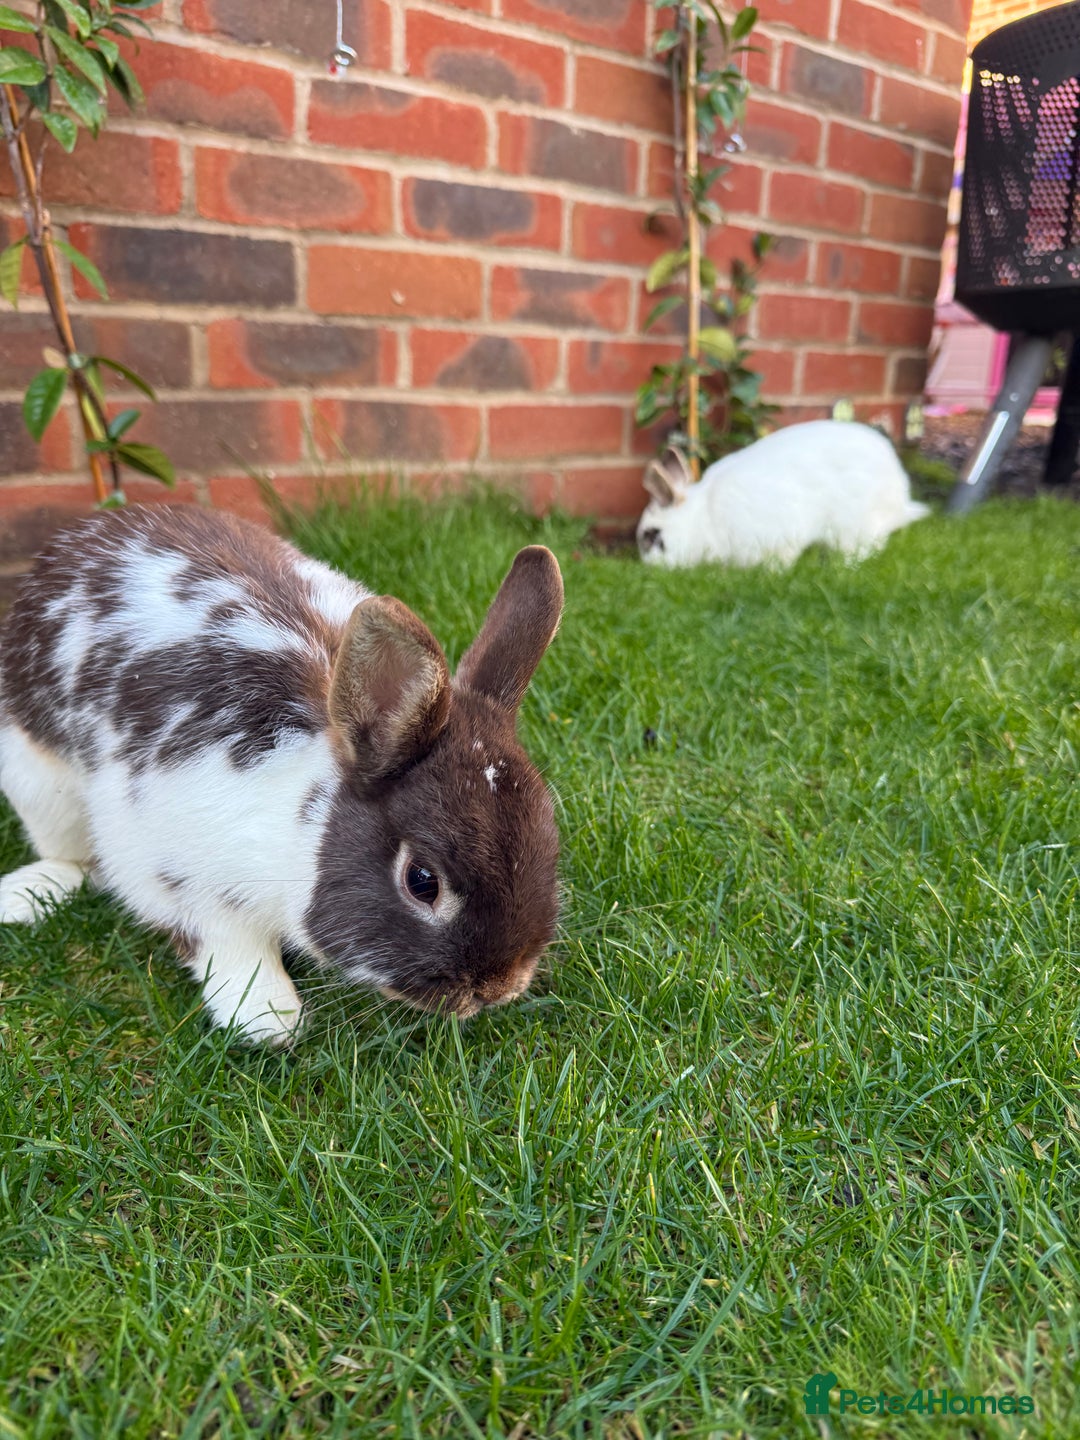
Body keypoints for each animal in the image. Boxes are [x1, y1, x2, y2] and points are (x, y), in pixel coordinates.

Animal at [0, 506, 564, 1044]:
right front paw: (267, 1017)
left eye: (551, 839)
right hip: (37, 783)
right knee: (73, 860)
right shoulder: (171, 872)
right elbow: (227, 945)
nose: (498, 987)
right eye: (422, 881)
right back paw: (22, 896)